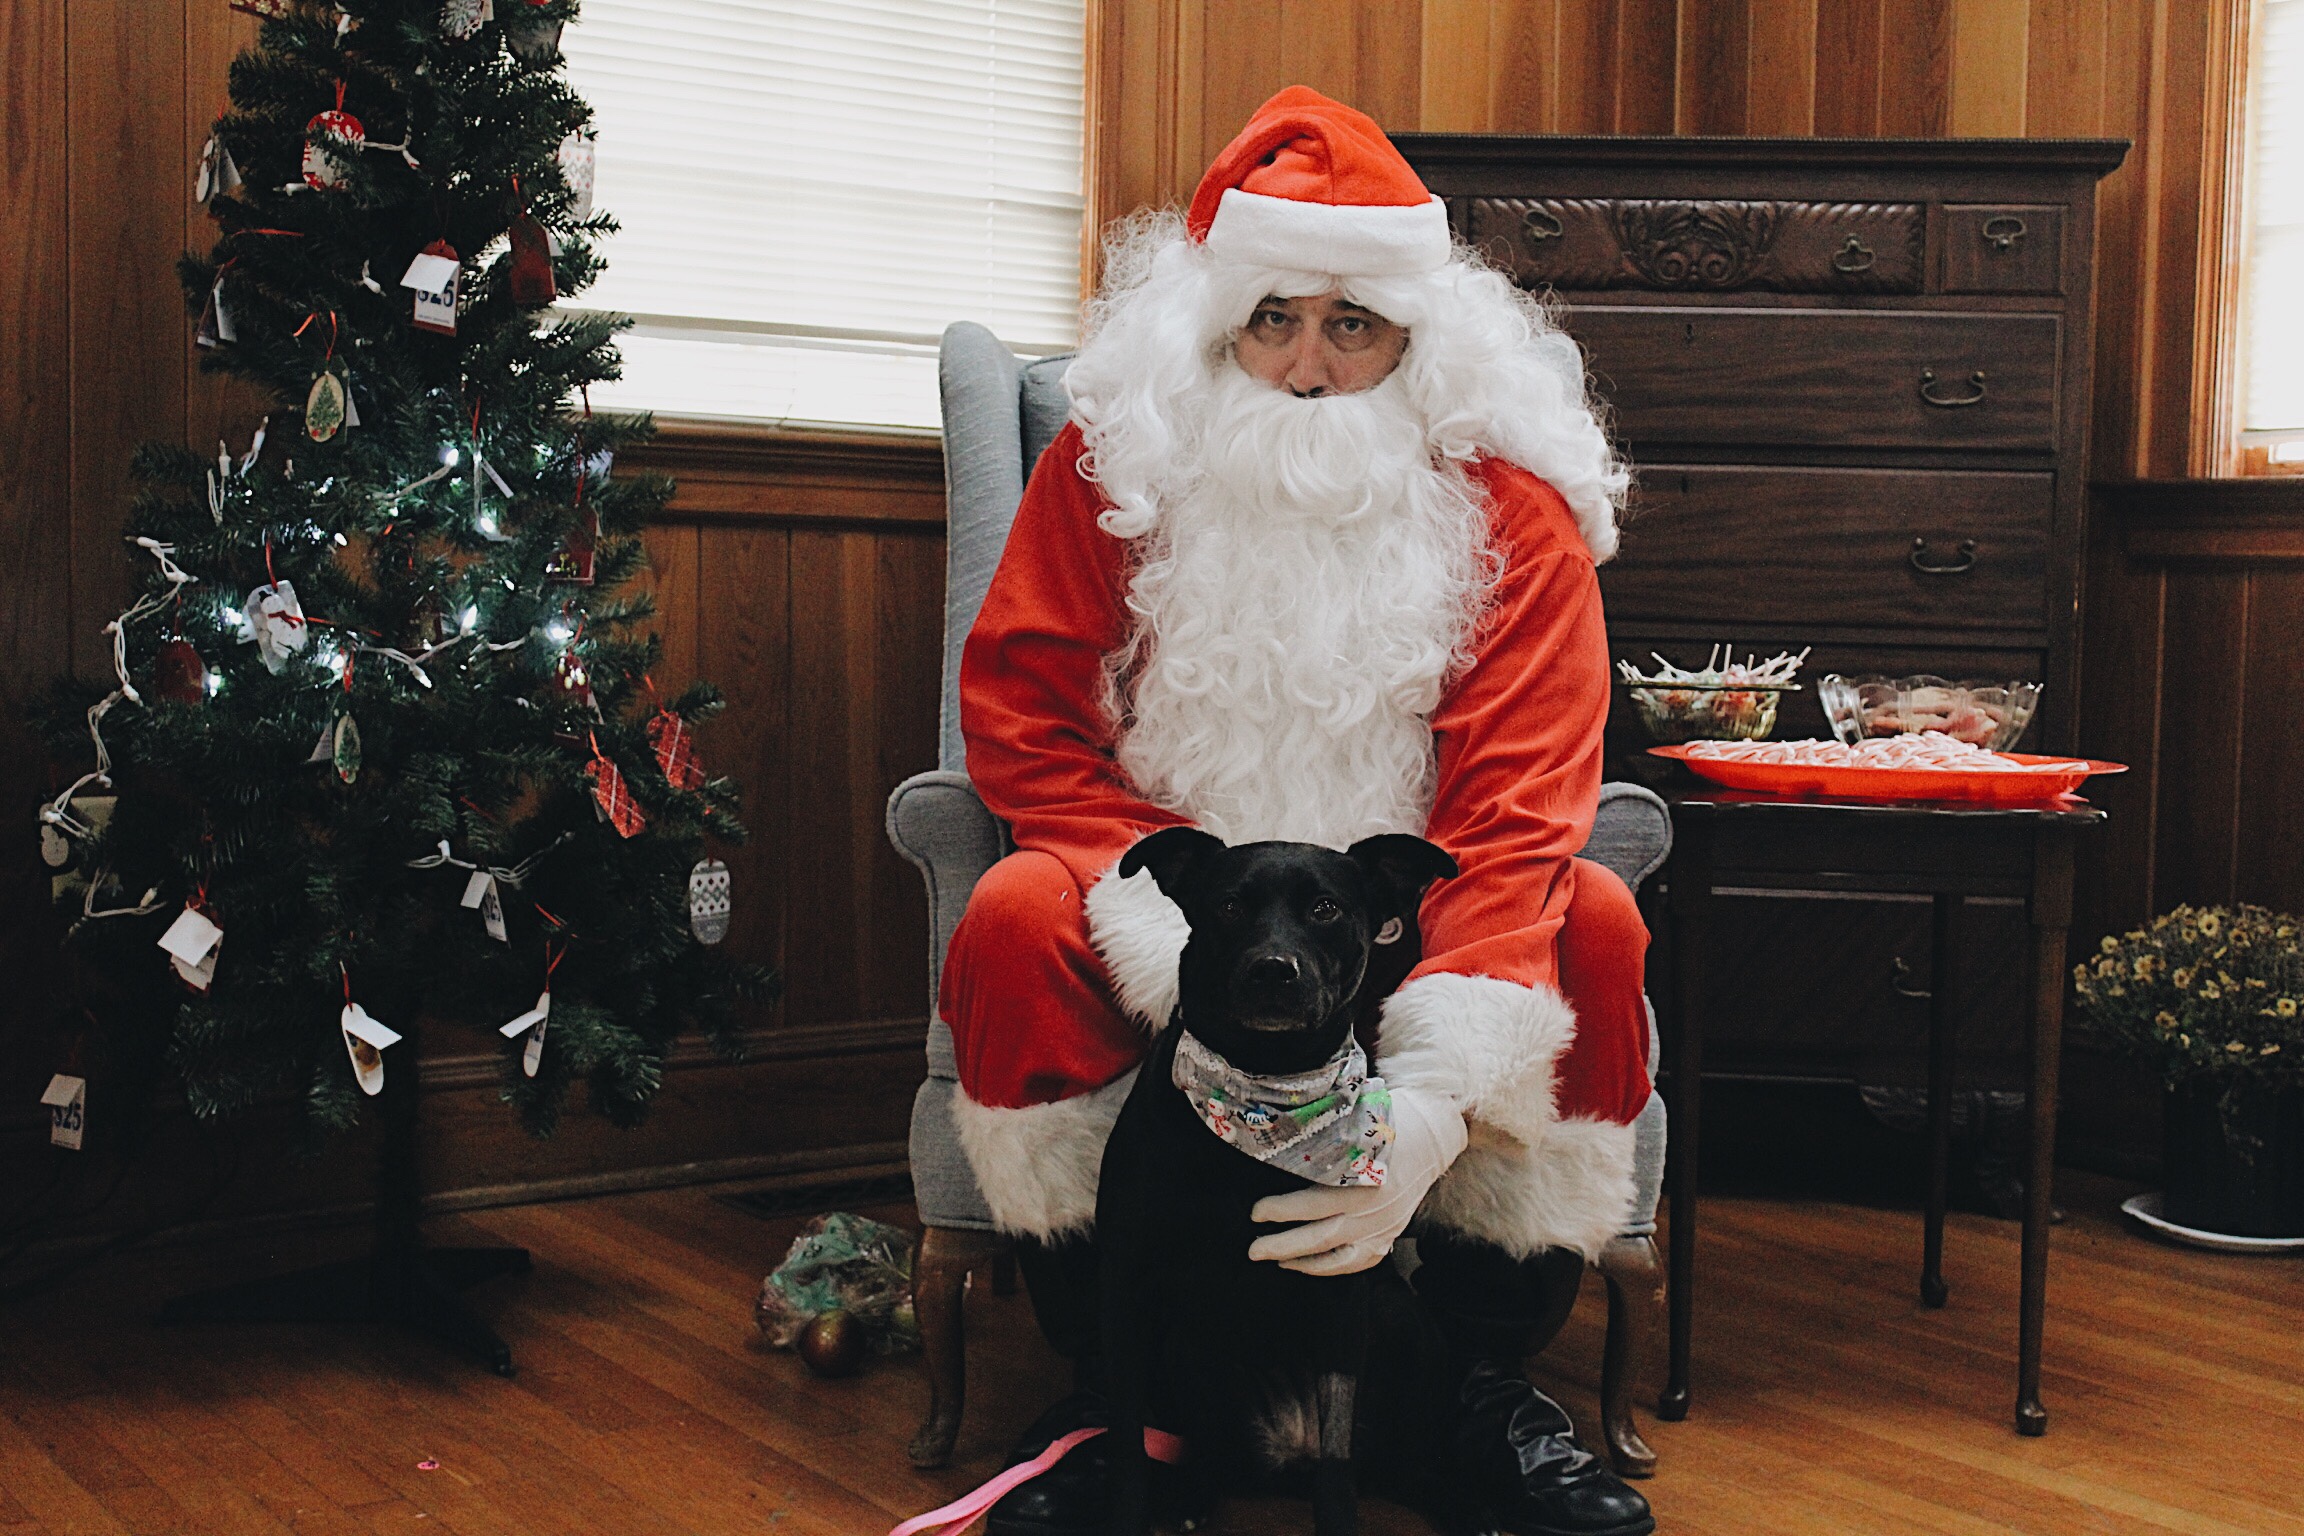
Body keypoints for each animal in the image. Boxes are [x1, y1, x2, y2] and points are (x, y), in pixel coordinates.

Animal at [1096, 827, 1462, 1536]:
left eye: (1325, 909)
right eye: (1229, 907)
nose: (1273, 968)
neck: (1266, 1092)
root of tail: (1288, 1450)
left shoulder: (1341, 1296)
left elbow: (1337, 1466)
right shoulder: (1127, 1287)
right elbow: (1124, 1446)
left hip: (1401, 1320)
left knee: (1394, 1460)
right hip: (1188, 1348)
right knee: (1212, 1449)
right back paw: (1190, 1499)